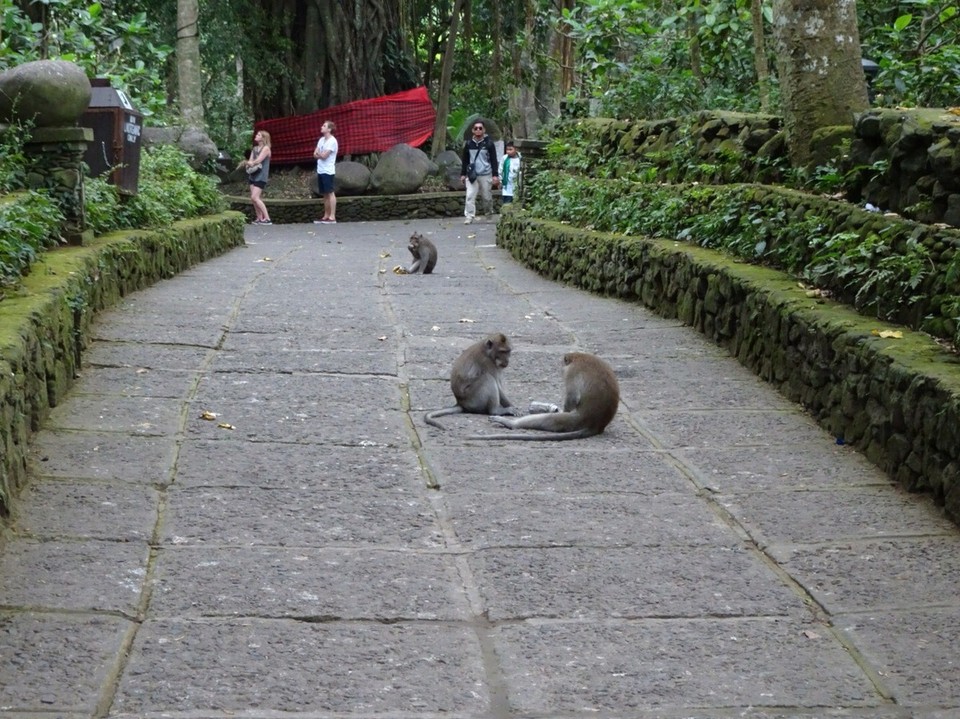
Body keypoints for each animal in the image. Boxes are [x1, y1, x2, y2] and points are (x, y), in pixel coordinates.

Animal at [470, 352, 620, 442]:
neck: (578, 357)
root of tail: (598, 424)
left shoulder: (571, 372)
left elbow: (572, 398)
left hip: (576, 419)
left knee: (546, 420)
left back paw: (510, 423)